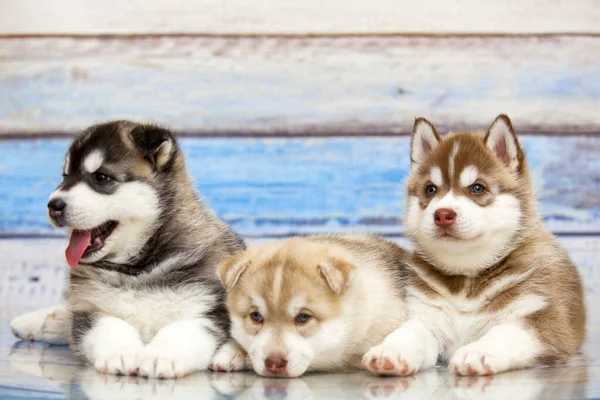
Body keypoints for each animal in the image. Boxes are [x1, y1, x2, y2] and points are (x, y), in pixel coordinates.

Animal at [9, 121, 244, 378]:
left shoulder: (211, 308)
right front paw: (121, 353)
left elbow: (183, 328)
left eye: (101, 177)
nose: (53, 205)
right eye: (65, 176)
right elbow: (109, 324)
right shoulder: (90, 308)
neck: (137, 268)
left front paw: (162, 355)